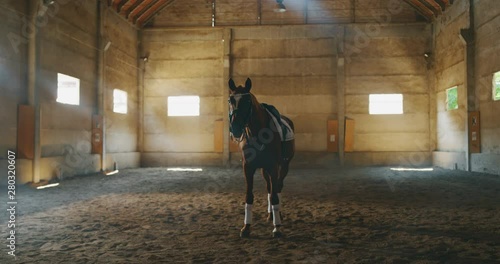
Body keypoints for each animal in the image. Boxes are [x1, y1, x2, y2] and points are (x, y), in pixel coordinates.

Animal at [229, 77, 294, 238]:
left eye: (247, 101)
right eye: (230, 100)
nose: (235, 127)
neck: (257, 133)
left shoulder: (273, 166)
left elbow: (275, 195)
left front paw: (277, 228)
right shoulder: (248, 167)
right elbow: (249, 196)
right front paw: (246, 227)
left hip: (284, 166)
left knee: (277, 187)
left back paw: (278, 216)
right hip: (264, 170)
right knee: (270, 188)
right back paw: (271, 215)